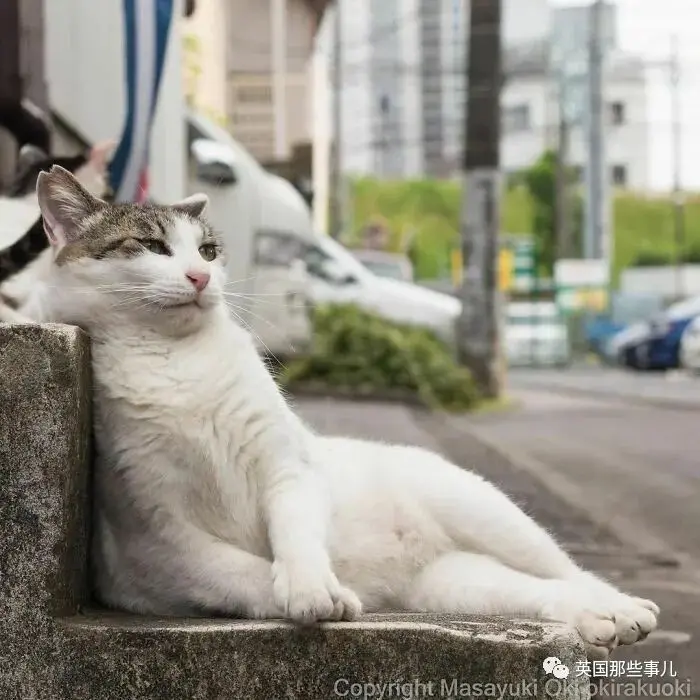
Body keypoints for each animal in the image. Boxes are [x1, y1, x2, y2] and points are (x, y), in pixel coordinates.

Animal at [24, 167, 660, 660]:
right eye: (153, 247)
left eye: (207, 251)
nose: (201, 277)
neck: (176, 363)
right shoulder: (159, 541)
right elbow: (243, 572)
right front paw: (325, 600)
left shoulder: (288, 471)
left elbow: (296, 536)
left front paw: (312, 588)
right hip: (458, 585)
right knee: (537, 593)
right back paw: (596, 620)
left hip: (484, 511)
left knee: (566, 570)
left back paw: (621, 606)